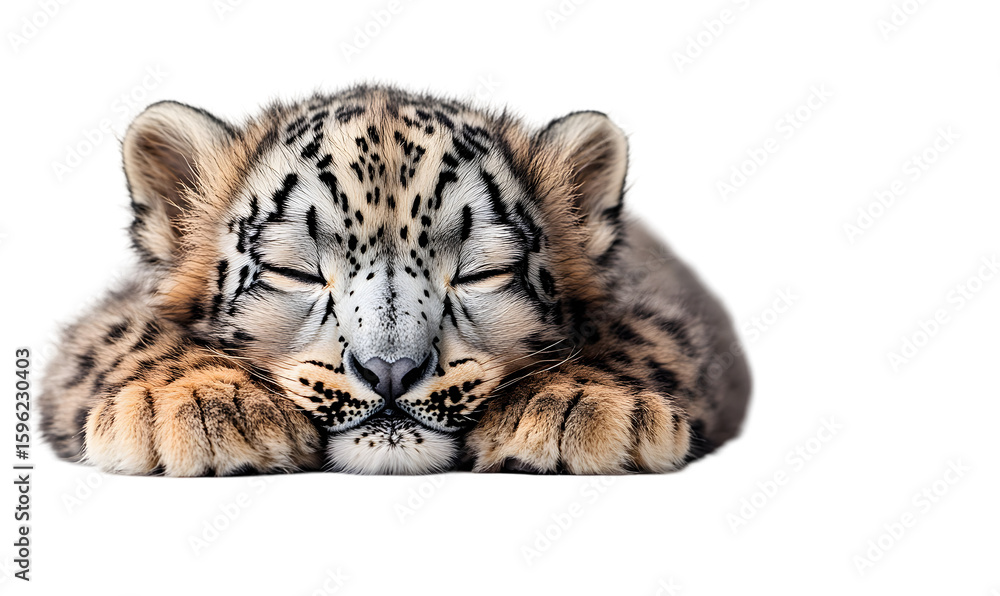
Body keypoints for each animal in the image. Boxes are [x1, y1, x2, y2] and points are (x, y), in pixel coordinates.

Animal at [38, 85, 751, 476]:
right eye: (294, 269)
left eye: (481, 271)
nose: (390, 370)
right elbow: (130, 335)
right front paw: (194, 405)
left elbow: (637, 335)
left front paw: (582, 403)